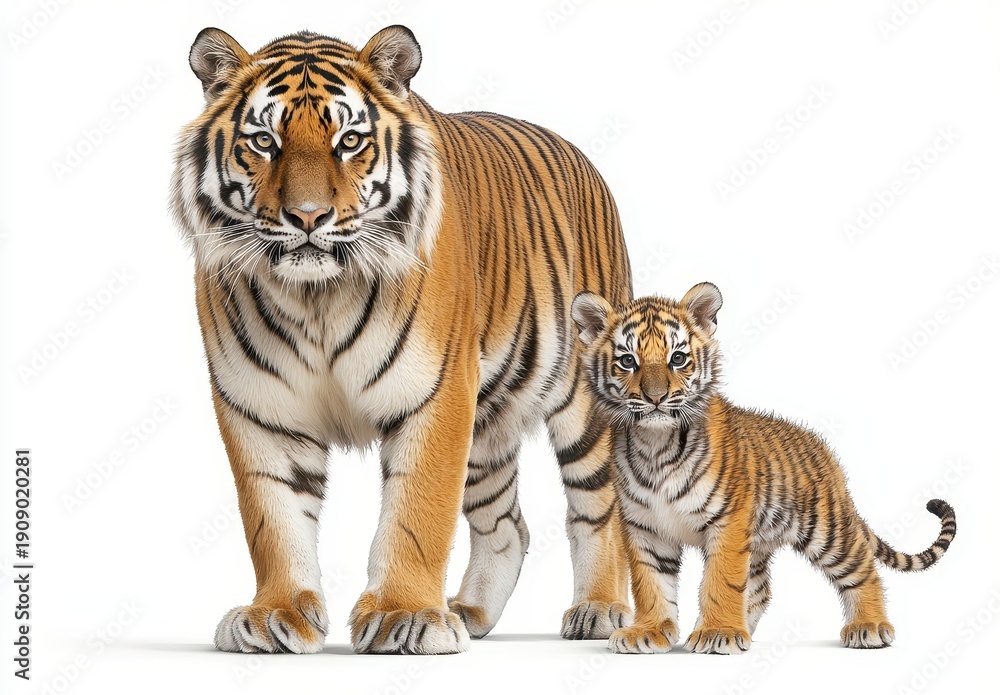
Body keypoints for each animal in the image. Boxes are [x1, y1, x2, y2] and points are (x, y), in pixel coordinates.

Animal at [170, 25, 635, 655]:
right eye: (264, 141)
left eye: (349, 141)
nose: (307, 217)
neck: (318, 296)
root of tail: (582, 156)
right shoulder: (259, 407)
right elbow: (272, 517)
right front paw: (275, 615)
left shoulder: (436, 394)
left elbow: (417, 514)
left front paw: (404, 615)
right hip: (487, 425)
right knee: (506, 524)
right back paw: (470, 612)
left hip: (587, 404)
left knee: (601, 507)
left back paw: (600, 609)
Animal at [571, 283, 956, 654]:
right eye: (627, 361)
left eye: (677, 359)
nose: (655, 398)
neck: (656, 443)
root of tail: (824, 450)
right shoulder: (645, 526)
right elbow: (650, 583)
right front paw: (649, 633)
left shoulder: (727, 522)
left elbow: (722, 580)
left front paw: (718, 632)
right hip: (760, 542)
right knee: (760, 590)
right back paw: (746, 631)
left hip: (826, 531)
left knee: (862, 568)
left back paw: (869, 627)